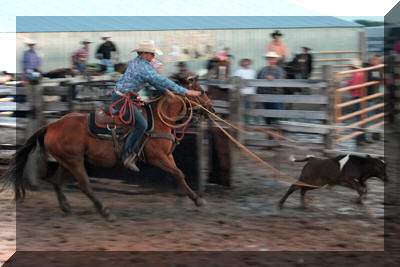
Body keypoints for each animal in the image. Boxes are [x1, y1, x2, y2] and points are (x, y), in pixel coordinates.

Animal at [1, 76, 214, 222]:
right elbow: (178, 173)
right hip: (74, 161)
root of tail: (52, 125)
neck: (159, 120)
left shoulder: (167, 157)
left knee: (56, 181)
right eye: (202, 92)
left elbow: (179, 174)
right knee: (84, 185)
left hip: (67, 161)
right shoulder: (158, 158)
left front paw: (193, 198)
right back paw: (104, 211)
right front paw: (198, 200)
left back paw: (67, 208)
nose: (213, 110)